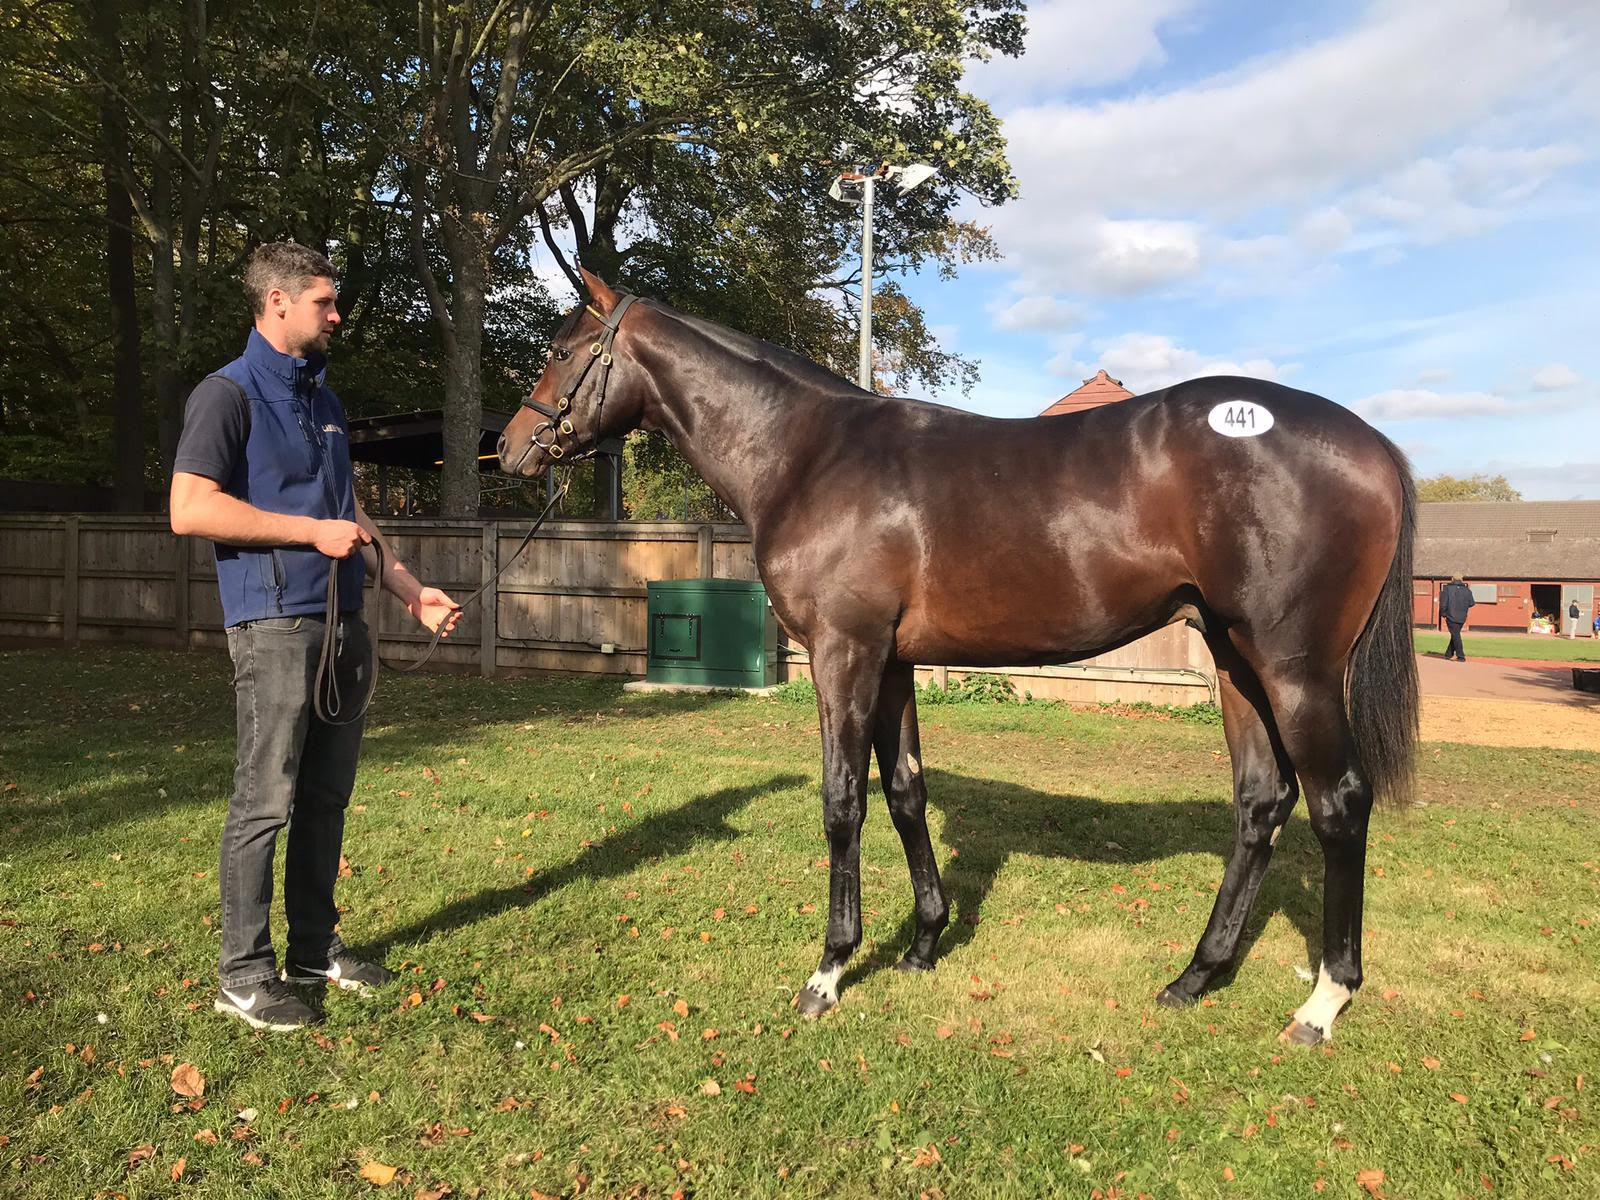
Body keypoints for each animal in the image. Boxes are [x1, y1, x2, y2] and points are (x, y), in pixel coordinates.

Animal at [496, 270, 1414, 1043]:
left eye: (561, 350)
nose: (509, 448)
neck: (808, 453)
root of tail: (1371, 442)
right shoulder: (894, 661)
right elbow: (905, 791)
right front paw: (924, 942)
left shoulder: (844, 652)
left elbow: (843, 802)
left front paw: (829, 971)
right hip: (1234, 659)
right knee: (1262, 801)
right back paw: (1196, 975)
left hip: (1293, 667)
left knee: (1338, 803)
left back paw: (1324, 1001)